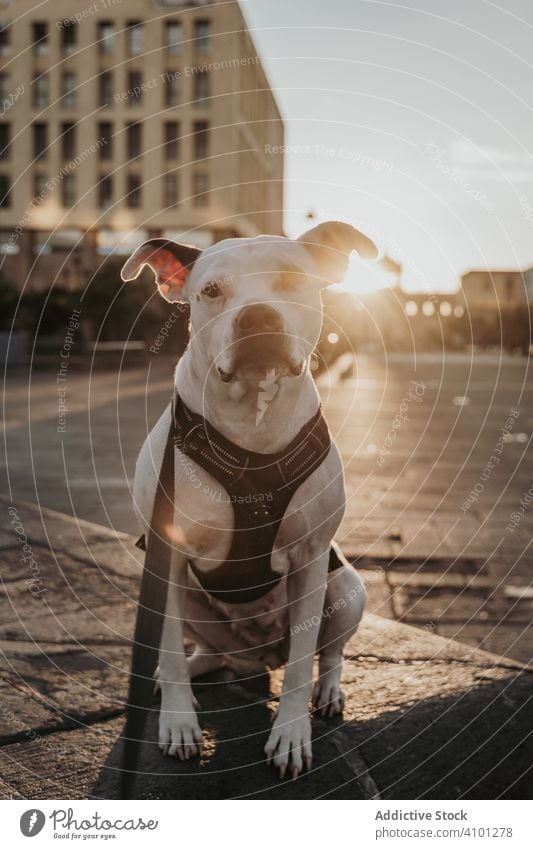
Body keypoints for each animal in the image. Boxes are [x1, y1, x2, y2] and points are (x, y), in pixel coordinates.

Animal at [122, 222, 376, 780]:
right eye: (212, 291)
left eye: (292, 279)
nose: (258, 316)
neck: (249, 434)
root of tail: (256, 657)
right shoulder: (165, 558)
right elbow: (169, 648)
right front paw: (178, 724)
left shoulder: (310, 560)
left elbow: (303, 662)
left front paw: (291, 735)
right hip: (192, 602)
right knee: (202, 653)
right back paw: (176, 676)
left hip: (347, 588)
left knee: (329, 653)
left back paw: (329, 692)